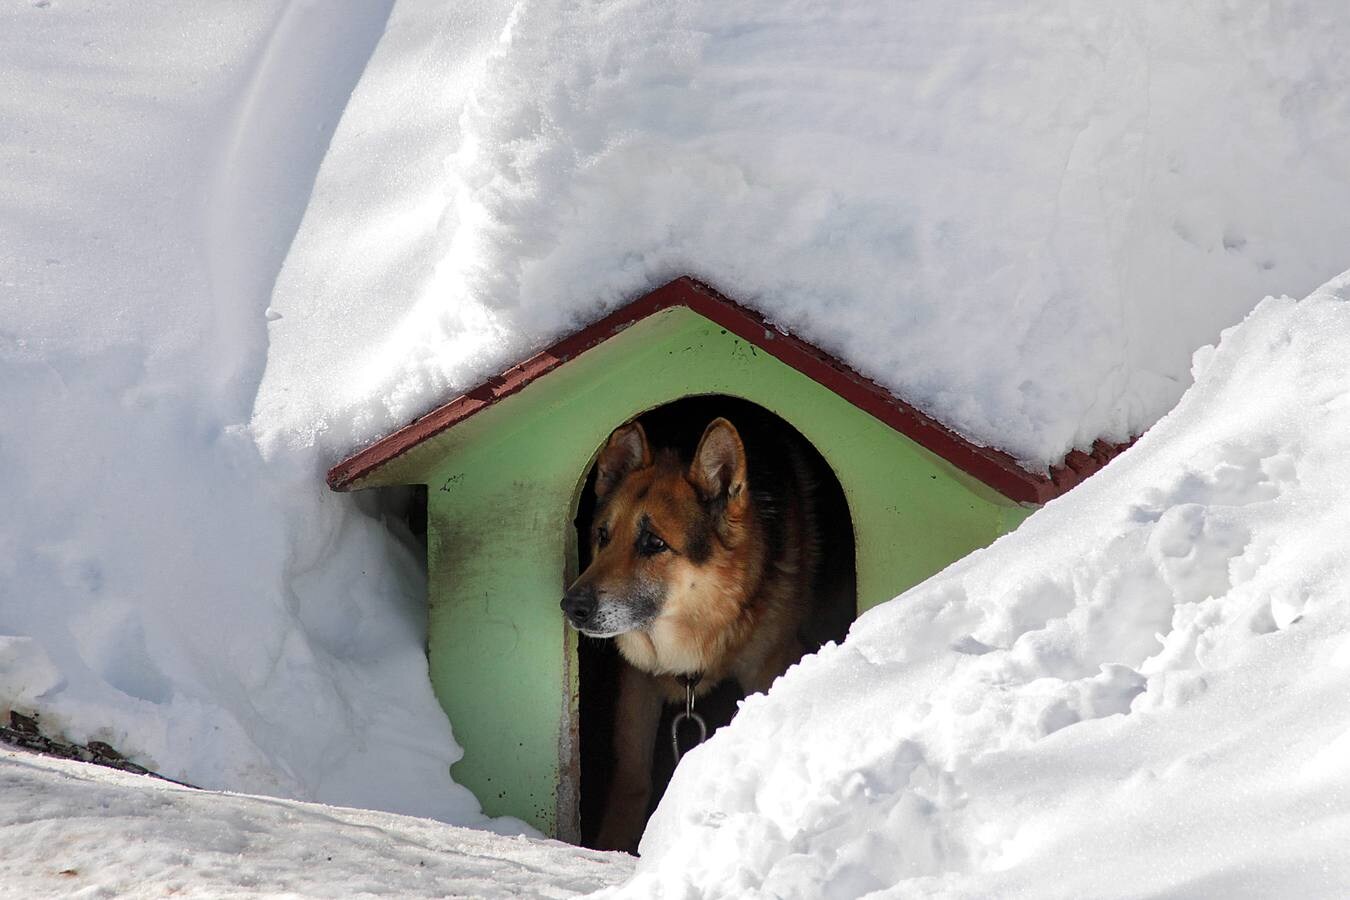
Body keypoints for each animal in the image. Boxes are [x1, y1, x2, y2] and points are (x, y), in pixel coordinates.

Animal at [558, 407, 831, 852]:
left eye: (654, 543)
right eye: (602, 535)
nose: (572, 607)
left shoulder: (768, 666)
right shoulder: (638, 684)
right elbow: (632, 779)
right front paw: (613, 846)